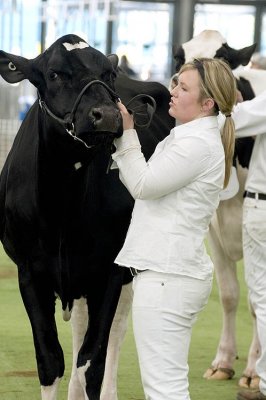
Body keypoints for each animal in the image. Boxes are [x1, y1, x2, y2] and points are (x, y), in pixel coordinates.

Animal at [0, 35, 175, 400]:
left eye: (108, 75)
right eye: (54, 74)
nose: (107, 114)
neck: (62, 210)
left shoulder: (110, 269)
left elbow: (92, 361)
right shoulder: (29, 271)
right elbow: (50, 361)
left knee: (116, 330)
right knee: (81, 326)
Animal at [172, 29, 266, 390]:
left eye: (224, 57)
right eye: (178, 57)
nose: (178, 81)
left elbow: (255, 302)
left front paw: (254, 371)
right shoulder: (213, 229)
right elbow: (228, 295)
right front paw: (223, 361)